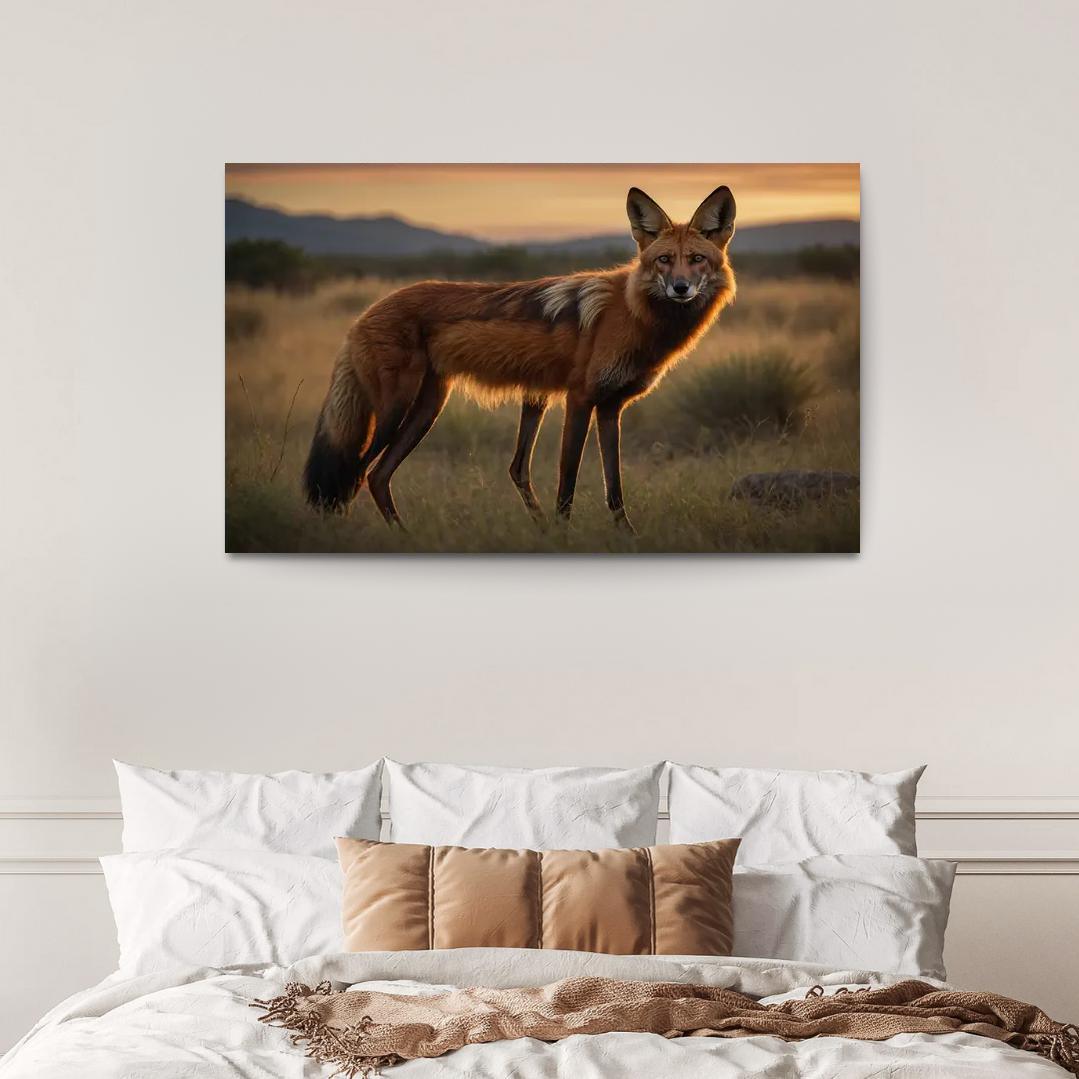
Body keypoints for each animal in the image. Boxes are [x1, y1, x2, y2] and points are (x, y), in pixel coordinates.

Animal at [303, 184, 737, 532]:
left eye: (696, 259)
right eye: (664, 260)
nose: (680, 288)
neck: (633, 314)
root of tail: (366, 311)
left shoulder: (611, 408)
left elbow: (614, 488)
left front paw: (626, 537)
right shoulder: (580, 399)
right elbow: (568, 482)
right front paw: (563, 536)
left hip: (428, 408)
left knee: (378, 477)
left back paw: (406, 537)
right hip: (396, 409)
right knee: (355, 473)